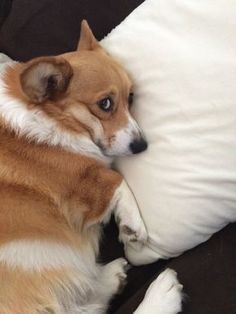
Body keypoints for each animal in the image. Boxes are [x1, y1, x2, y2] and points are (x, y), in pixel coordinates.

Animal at [0, 21, 183, 314]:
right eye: (105, 104)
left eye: (131, 97)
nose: (142, 145)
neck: (52, 117)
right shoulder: (82, 183)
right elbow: (116, 178)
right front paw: (132, 225)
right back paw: (162, 295)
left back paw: (112, 277)